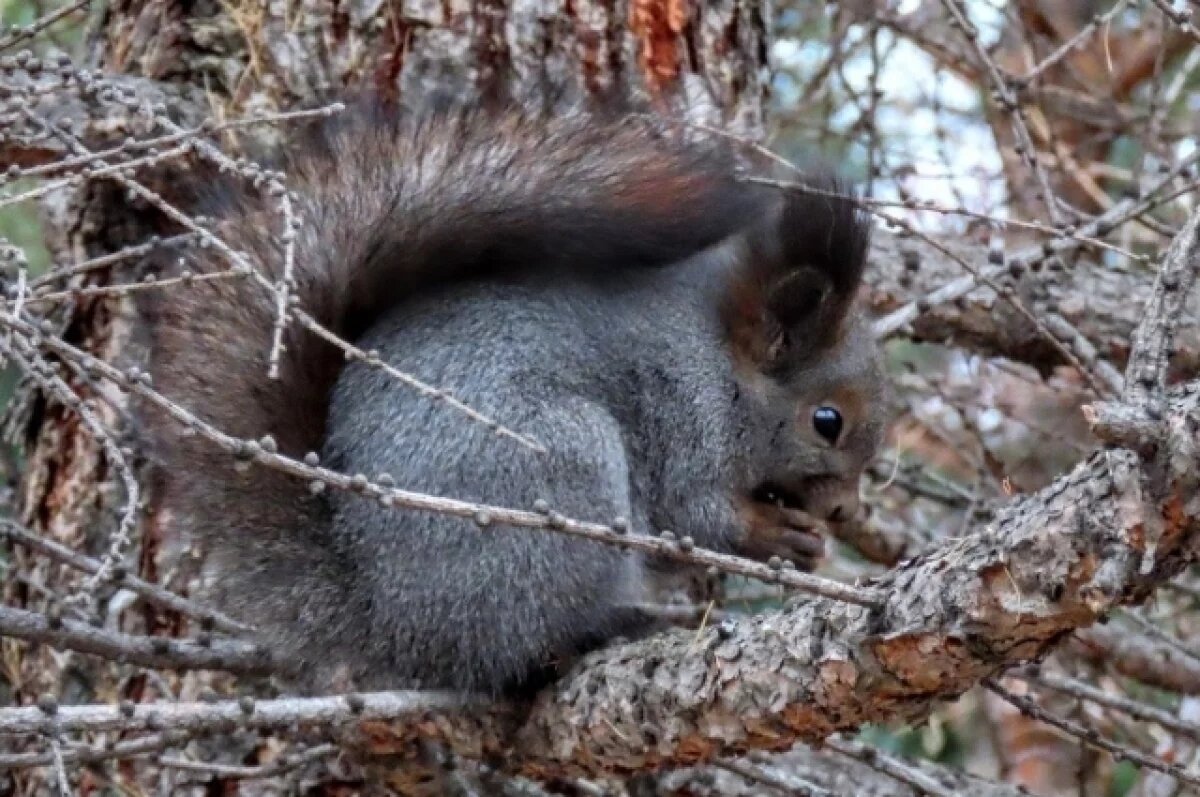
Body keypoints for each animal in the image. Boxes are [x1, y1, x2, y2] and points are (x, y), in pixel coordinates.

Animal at [140, 96, 888, 696]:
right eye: (827, 420)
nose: (846, 511)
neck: (720, 359)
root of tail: (395, 621)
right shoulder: (686, 420)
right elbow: (698, 515)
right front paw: (778, 532)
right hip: (564, 469)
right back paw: (609, 629)